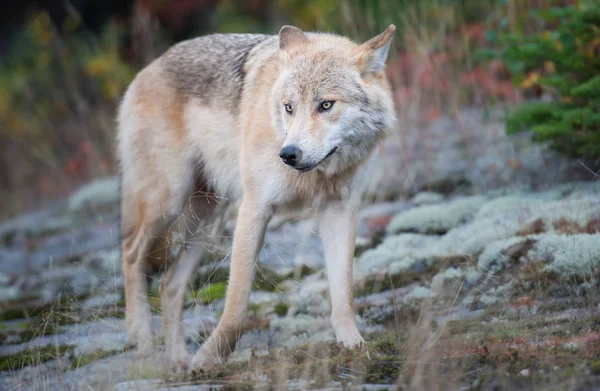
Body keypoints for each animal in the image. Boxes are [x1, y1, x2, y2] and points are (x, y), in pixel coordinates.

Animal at [118, 23, 396, 372]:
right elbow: (236, 306)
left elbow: (343, 296)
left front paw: (354, 347)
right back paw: (141, 339)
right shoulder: (254, 209)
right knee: (131, 252)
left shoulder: (340, 212)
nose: (289, 154)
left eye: (326, 105)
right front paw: (209, 358)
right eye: (289, 107)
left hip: (208, 223)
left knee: (169, 285)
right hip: (168, 202)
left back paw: (178, 362)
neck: (316, 176)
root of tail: (145, 71)